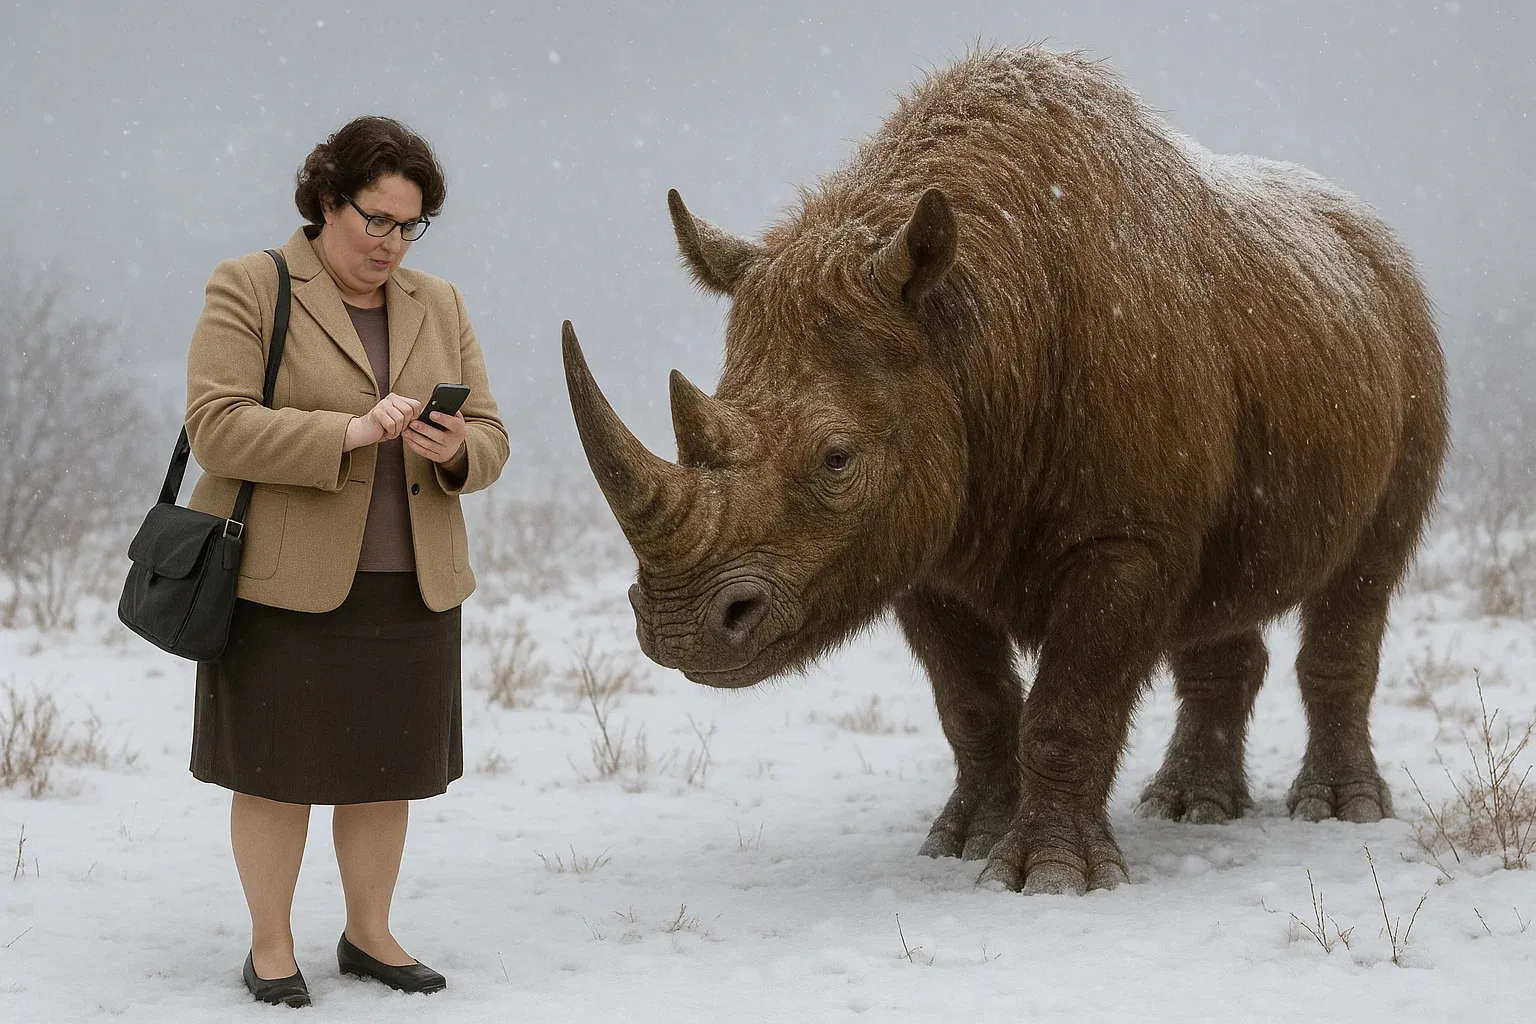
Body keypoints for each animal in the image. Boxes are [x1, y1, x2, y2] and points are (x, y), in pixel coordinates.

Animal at [561, 47, 1448, 893]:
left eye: (838, 460)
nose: (678, 629)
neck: (972, 323)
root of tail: (1379, 239)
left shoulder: (1123, 537)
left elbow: (1068, 708)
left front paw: (1050, 877)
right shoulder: (919, 534)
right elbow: (973, 704)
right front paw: (964, 844)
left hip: (1413, 347)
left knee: (1363, 578)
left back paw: (1338, 811)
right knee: (1225, 590)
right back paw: (1190, 809)